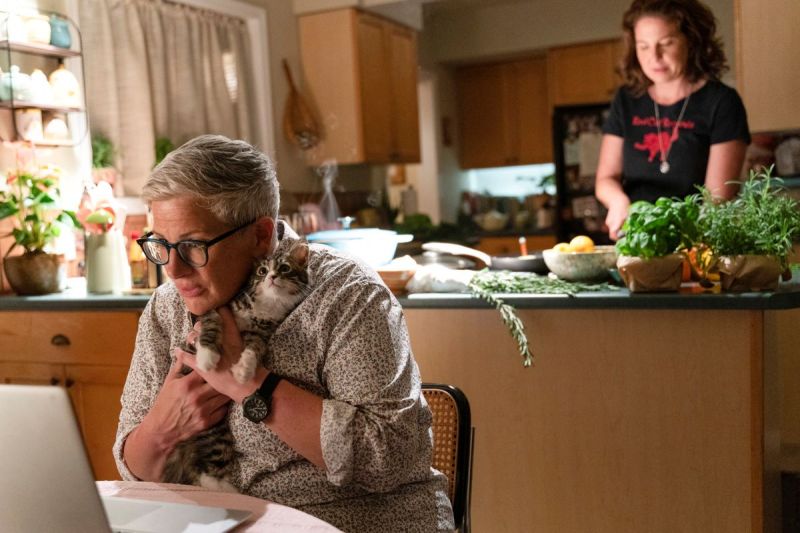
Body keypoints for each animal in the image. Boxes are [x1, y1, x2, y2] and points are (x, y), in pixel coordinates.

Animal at [161, 239, 310, 492]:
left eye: (285, 268)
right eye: (262, 271)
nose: (271, 277)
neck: (266, 306)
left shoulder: (261, 334)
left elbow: (253, 350)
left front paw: (243, 371)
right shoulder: (215, 311)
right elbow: (211, 328)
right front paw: (207, 358)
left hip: (217, 435)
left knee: (205, 471)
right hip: (212, 430)